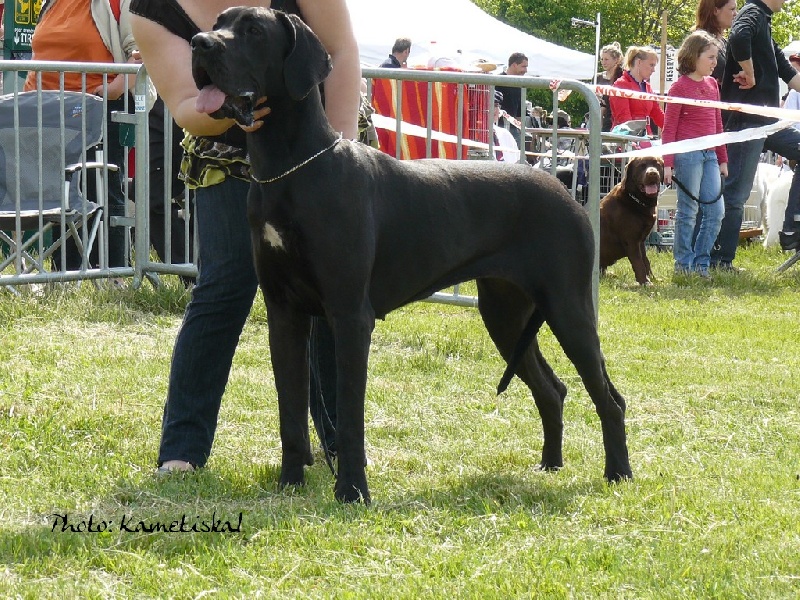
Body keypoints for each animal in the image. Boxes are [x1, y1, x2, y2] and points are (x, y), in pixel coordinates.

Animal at [600, 156, 664, 284]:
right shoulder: (631, 240)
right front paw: (644, 282)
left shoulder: (641, 241)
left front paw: (652, 279)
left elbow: (645, 260)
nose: (652, 173)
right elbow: (638, 262)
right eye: (642, 165)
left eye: (657, 164)